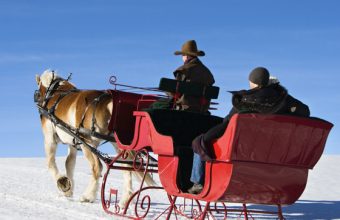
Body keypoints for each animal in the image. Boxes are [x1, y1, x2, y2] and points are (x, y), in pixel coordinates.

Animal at [34, 70, 155, 205]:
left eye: (38, 92)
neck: (55, 94)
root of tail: (109, 102)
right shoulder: (73, 143)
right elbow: (69, 163)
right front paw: (69, 191)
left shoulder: (50, 138)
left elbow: (50, 162)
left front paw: (63, 183)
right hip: (116, 144)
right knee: (127, 167)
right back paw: (125, 200)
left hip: (88, 143)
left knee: (98, 167)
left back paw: (88, 195)